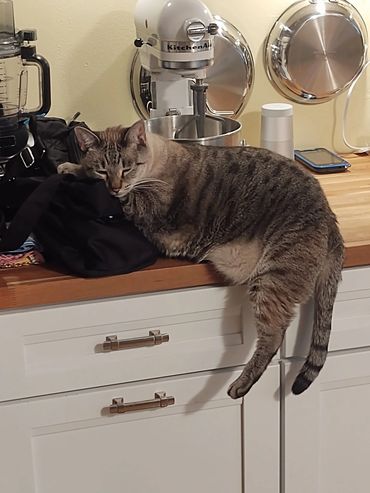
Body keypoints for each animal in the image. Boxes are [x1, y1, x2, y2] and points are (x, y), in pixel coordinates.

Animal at [57, 121, 344, 398]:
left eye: (126, 169)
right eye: (103, 171)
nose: (114, 187)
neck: (156, 162)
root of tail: (331, 216)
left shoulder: (144, 206)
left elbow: (128, 199)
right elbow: (83, 169)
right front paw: (70, 167)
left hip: (271, 280)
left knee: (274, 335)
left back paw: (239, 386)